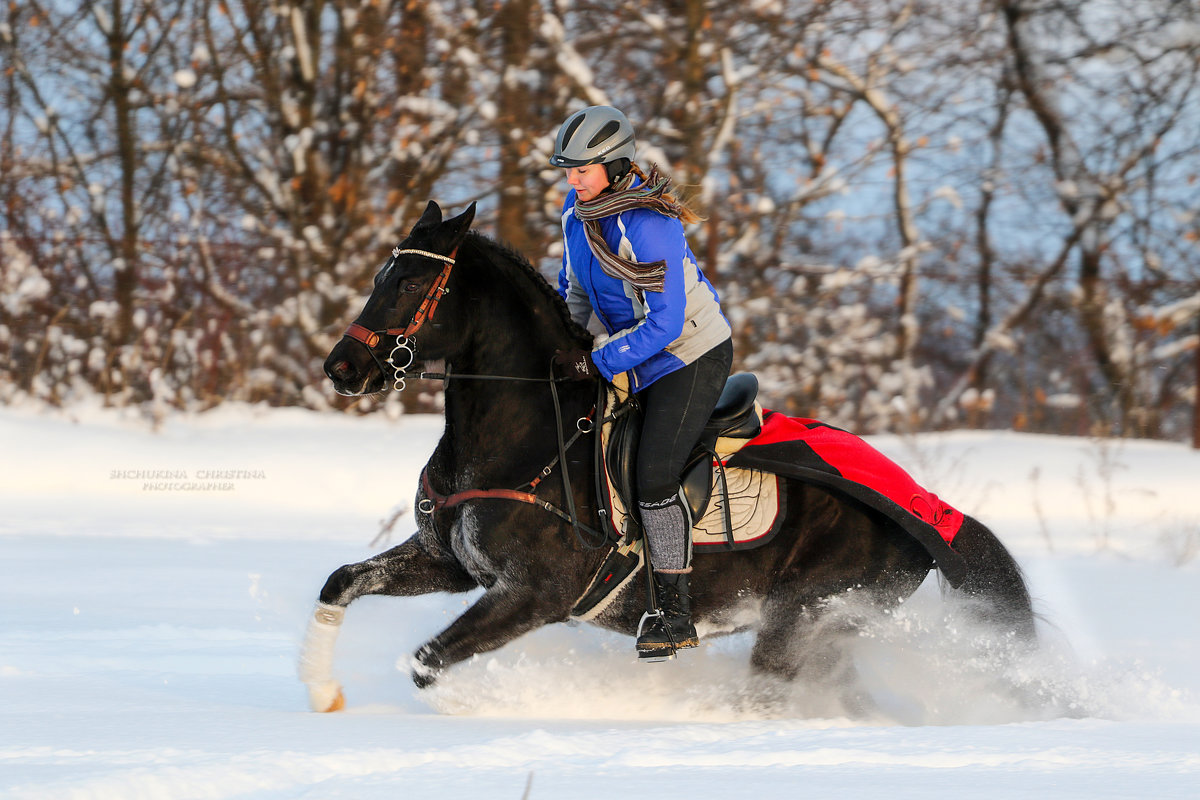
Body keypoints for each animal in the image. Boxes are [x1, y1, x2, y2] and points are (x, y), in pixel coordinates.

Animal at [297, 200, 1032, 714]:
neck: (522, 434)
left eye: (411, 284)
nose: (342, 367)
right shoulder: (450, 565)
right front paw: (323, 694)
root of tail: (923, 509)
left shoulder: (533, 594)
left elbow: (427, 661)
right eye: (381, 275)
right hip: (824, 636)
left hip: (804, 619)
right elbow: (340, 581)